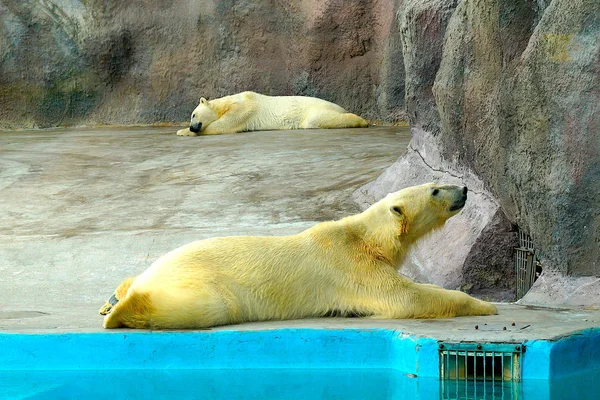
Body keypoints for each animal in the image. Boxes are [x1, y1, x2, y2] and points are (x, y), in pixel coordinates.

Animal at [102, 183, 496, 330]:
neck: (366, 236)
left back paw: (114, 297)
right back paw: (120, 312)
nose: (463, 189)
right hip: (203, 283)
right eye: (434, 190)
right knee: (199, 306)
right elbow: (405, 296)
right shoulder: (351, 264)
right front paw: (484, 305)